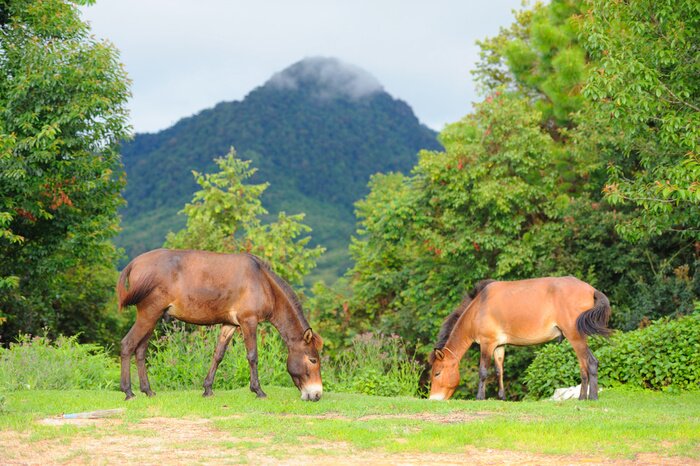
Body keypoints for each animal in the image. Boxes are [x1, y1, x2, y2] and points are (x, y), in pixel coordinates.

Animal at [116, 248, 324, 402]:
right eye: (313, 360)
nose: (317, 394)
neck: (263, 283)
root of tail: (135, 262)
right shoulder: (248, 322)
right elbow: (252, 356)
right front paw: (258, 390)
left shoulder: (229, 325)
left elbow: (218, 355)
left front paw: (208, 389)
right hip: (149, 315)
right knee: (127, 345)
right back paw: (128, 391)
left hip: (153, 317)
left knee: (140, 351)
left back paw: (147, 390)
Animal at [429, 276, 611, 401]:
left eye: (437, 373)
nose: (433, 399)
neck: (478, 307)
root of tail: (591, 290)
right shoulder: (499, 345)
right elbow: (499, 371)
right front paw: (501, 397)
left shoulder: (487, 344)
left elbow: (483, 371)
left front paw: (480, 397)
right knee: (584, 367)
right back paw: (582, 398)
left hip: (575, 337)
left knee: (591, 362)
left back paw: (592, 398)